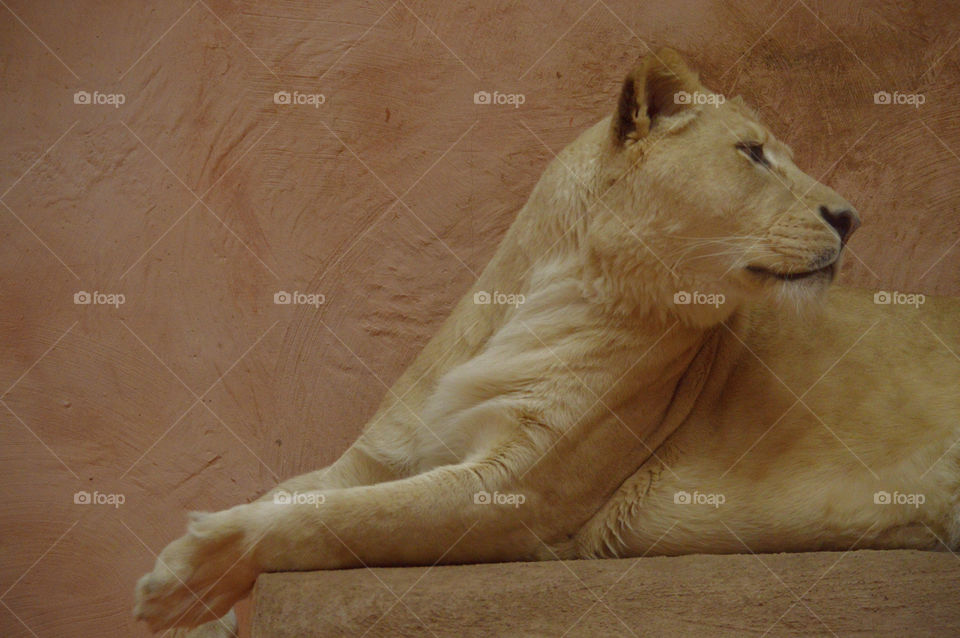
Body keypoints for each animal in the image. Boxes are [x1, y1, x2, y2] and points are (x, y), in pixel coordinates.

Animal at [134, 49, 960, 636]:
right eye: (753, 153)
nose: (851, 218)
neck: (549, 292)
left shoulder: (516, 493)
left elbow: (343, 520)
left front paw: (187, 577)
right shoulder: (377, 457)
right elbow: (291, 494)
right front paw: (197, 603)